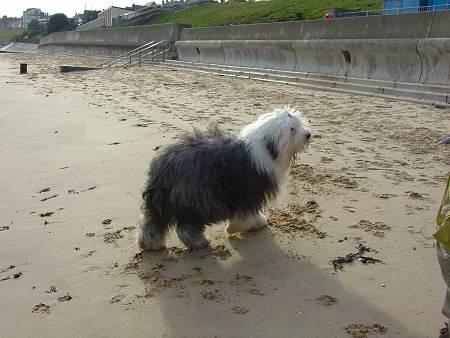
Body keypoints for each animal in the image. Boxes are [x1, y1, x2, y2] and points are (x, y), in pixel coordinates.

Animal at [137, 106, 312, 251]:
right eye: (292, 129)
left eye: (299, 124)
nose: (308, 135)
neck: (268, 148)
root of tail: (163, 166)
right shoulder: (247, 191)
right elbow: (244, 215)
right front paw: (234, 228)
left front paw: (258, 221)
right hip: (195, 198)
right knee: (186, 226)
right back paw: (199, 242)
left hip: (160, 201)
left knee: (152, 222)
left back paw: (150, 244)